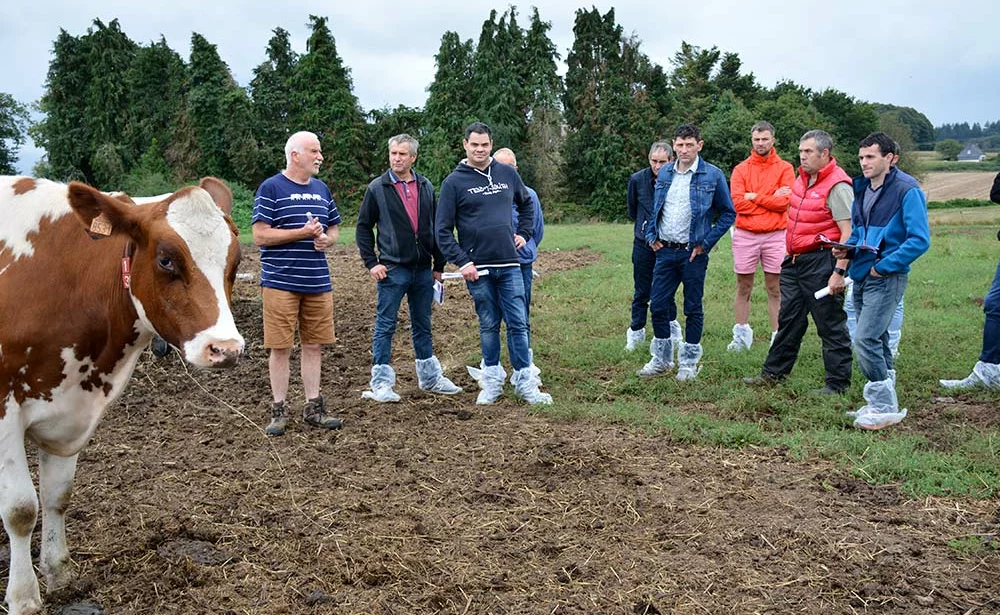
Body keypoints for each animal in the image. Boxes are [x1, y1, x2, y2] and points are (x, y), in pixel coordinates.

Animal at [1, 176, 244, 612]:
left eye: (235, 262)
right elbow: (20, 509)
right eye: (166, 260)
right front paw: (24, 597)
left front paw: (60, 574)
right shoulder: (3, 405)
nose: (226, 349)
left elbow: (57, 495)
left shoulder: (72, 409)